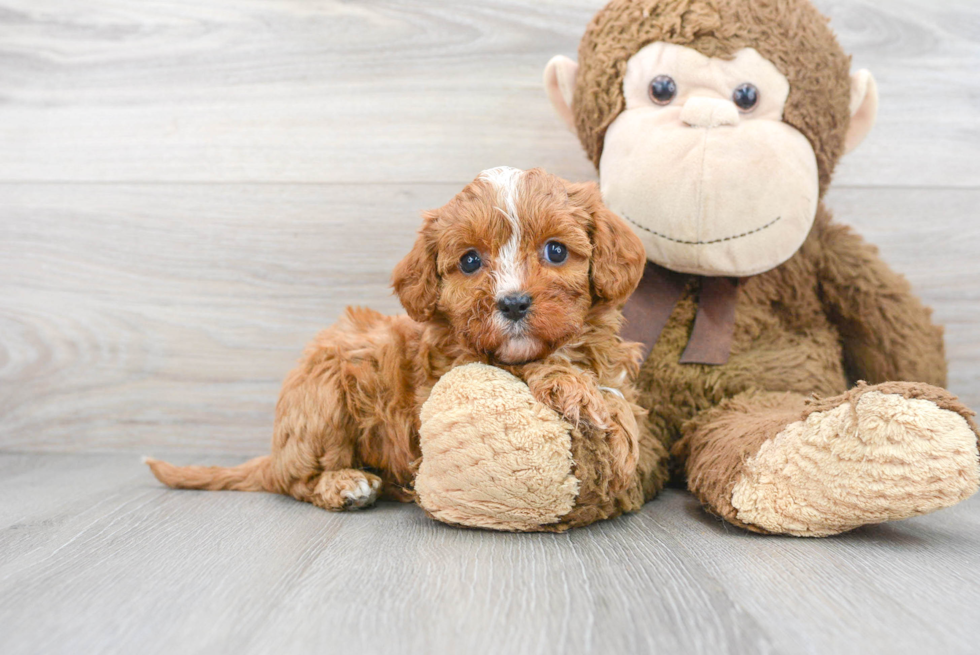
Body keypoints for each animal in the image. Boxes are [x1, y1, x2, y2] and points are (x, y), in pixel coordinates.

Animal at [145, 168, 648, 512]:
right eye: (470, 261)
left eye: (556, 251)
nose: (513, 304)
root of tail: (275, 452)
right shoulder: (456, 370)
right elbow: (524, 369)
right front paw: (573, 388)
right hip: (325, 392)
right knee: (296, 480)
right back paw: (344, 483)